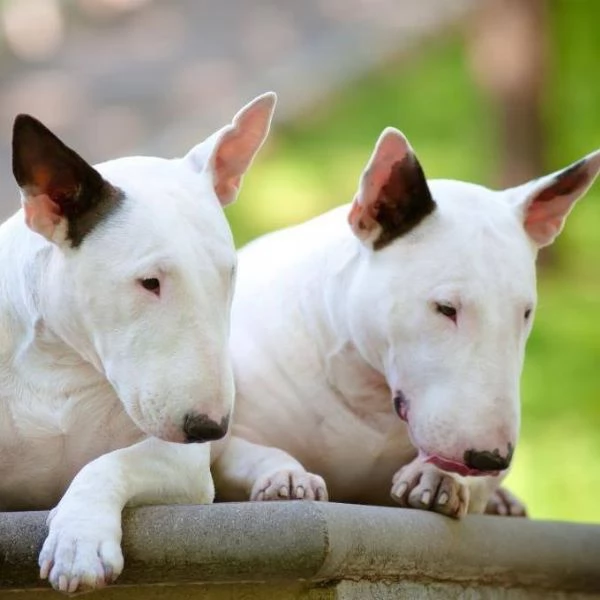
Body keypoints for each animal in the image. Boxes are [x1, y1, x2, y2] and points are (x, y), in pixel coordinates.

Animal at [0, 92, 276, 592]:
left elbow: (113, 462)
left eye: (228, 274)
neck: (60, 362)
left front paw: (79, 539)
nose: (209, 427)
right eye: (150, 282)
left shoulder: (183, 463)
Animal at [214, 127, 600, 520]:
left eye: (525, 312)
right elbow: (252, 453)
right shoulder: (229, 438)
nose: (490, 458)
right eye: (445, 308)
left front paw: (438, 478)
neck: (368, 396)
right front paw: (287, 478)